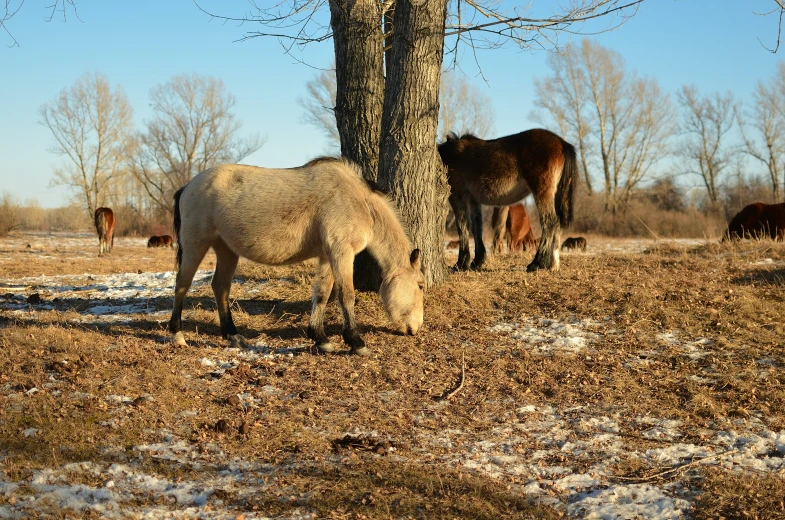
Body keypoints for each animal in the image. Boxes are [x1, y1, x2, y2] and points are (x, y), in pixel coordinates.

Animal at [169, 156, 426, 356]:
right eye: (421, 285)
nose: (415, 328)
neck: (358, 201)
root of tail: (188, 186)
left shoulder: (327, 256)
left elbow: (322, 294)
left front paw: (320, 339)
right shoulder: (341, 253)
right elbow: (346, 295)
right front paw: (356, 342)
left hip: (226, 249)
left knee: (220, 287)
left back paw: (233, 335)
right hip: (195, 244)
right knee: (182, 284)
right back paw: (177, 335)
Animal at [438, 128, 580, 272]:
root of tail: (562, 143)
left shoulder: (457, 196)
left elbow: (462, 226)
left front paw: (461, 263)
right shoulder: (473, 200)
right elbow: (476, 227)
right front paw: (477, 261)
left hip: (542, 193)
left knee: (550, 222)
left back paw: (537, 263)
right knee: (557, 224)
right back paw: (553, 265)